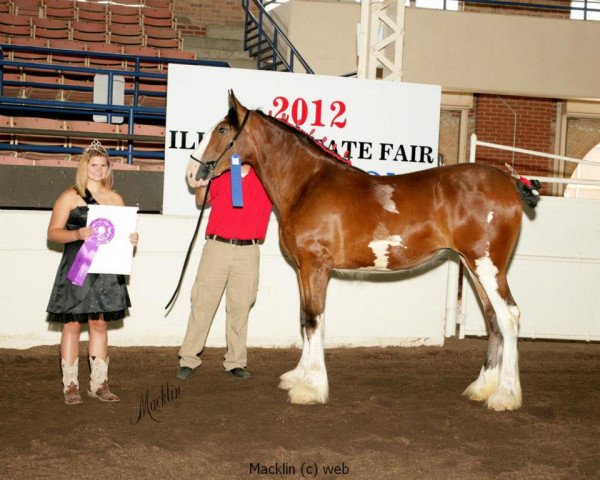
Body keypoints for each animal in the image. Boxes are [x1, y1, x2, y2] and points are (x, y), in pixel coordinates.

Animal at [186, 91, 540, 412]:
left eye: (221, 130)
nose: (193, 175)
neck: (307, 184)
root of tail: (509, 181)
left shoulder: (316, 266)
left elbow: (314, 320)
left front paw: (311, 388)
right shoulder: (304, 269)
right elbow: (304, 319)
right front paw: (298, 376)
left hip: (487, 266)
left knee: (509, 316)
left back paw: (505, 395)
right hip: (474, 266)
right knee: (493, 318)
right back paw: (481, 388)